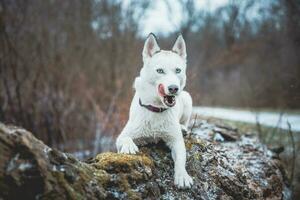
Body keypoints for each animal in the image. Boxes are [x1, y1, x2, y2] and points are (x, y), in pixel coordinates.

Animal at [116, 33, 193, 188]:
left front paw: (182, 175)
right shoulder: (121, 137)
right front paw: (129, 146)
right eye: (160, 71)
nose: (174, 88)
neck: (156, 109)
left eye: (178, 70)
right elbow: (125, 138)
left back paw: (183, 127)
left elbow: (181, 160)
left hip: (187, 98)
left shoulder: (176, 142)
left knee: (185, 122)